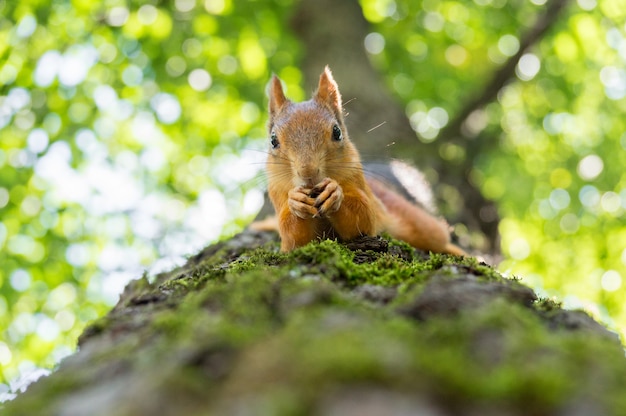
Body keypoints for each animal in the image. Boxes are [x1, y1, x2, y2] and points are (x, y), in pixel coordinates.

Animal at [252, 66, 464, 255]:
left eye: (337, 132)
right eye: (273, 140)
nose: (308, 173)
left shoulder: (360, 187)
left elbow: (364, 217)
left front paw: (335, 193)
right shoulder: (277, 192)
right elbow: (293, 236)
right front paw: (295, 201)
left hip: (415, 220)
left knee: (436, 236)